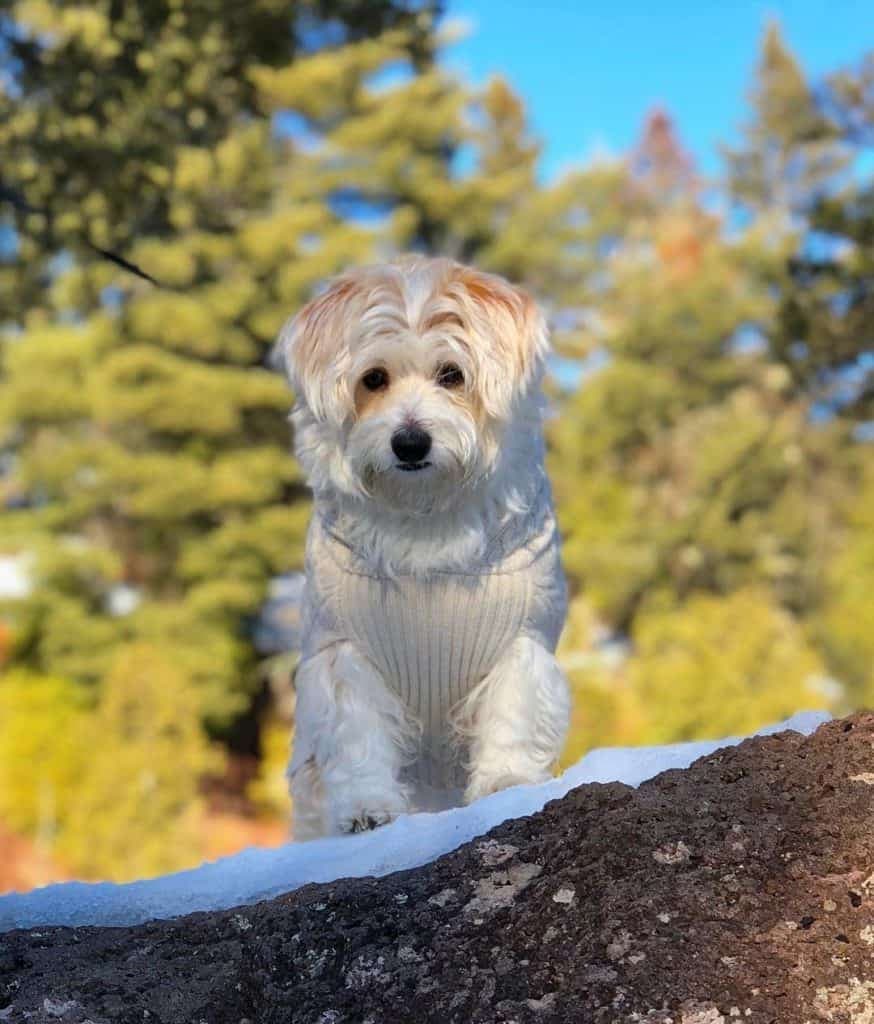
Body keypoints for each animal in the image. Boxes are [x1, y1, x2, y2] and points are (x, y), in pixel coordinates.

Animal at [276, 256, 573, 839]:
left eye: (452, 374)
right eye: (373, 379)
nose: (410, 443)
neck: (425, 521)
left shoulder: (522, 641)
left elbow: (514, 710)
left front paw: (505, 781)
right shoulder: (344, 653)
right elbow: (358, 734)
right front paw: (366, 807)